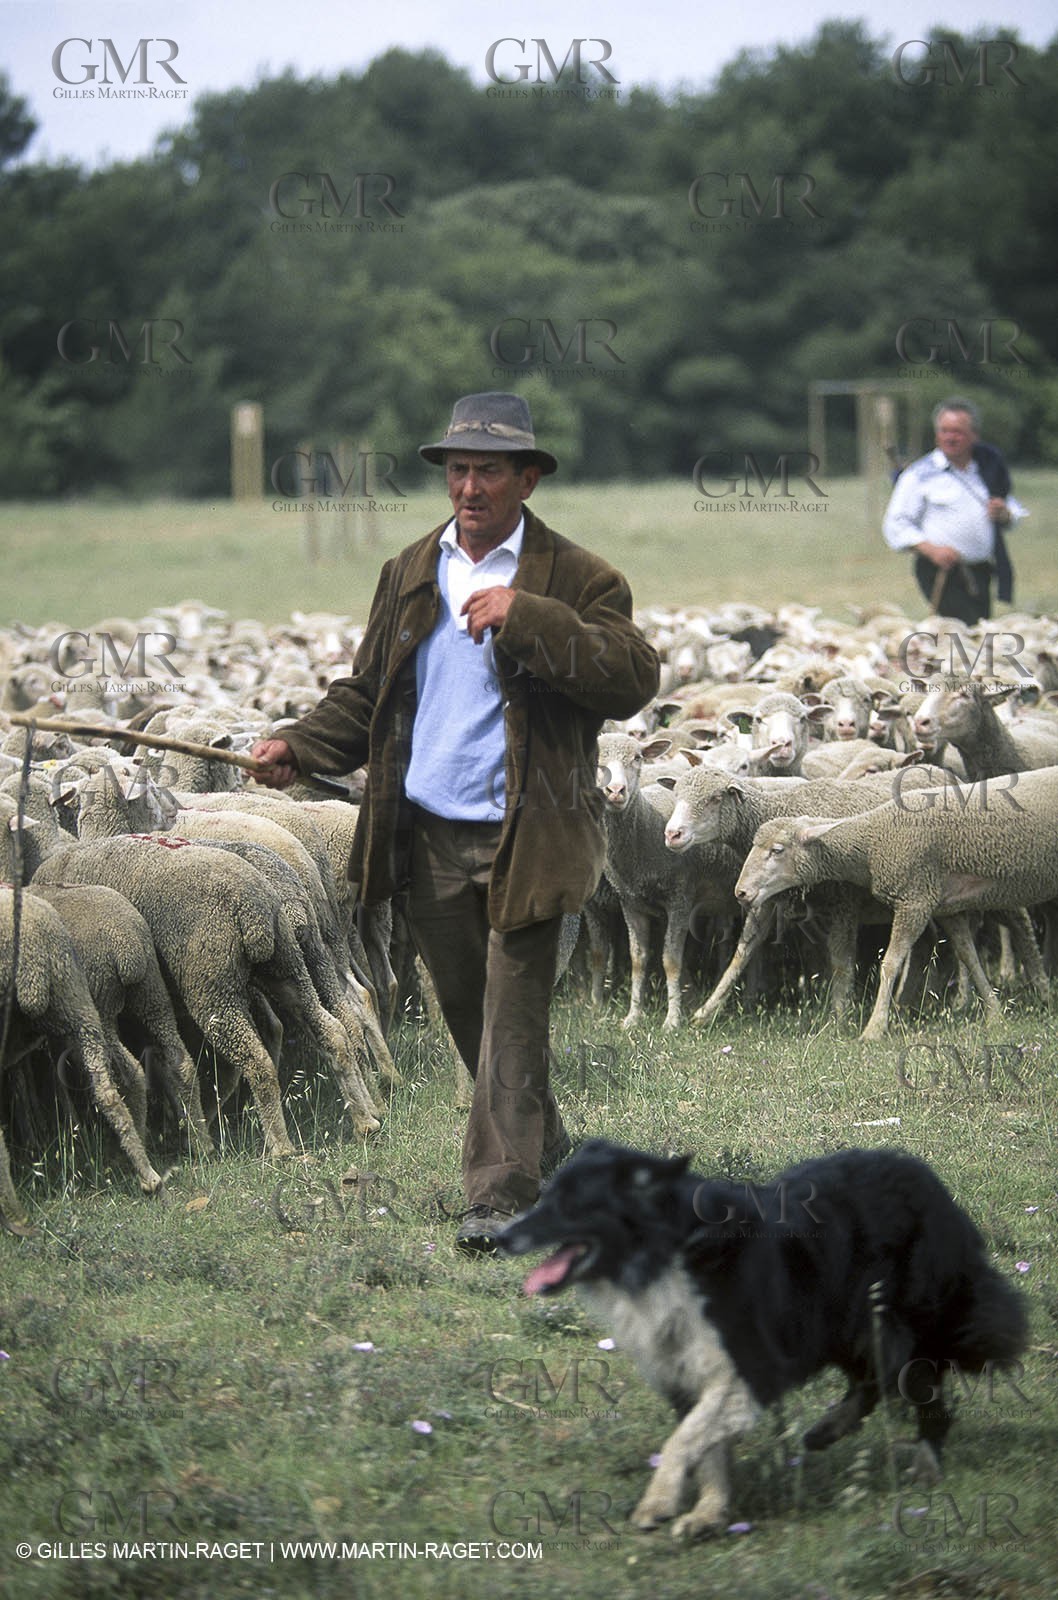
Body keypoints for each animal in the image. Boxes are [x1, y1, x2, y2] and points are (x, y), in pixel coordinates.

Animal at [595, 733, 740, 1029]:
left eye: (637, 758)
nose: (615, 791)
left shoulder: (680, 898)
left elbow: (671, 960)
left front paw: (672, 1021)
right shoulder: (630, 903)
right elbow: (638, 960)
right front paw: (633, 1017)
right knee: (724, 941)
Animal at [734, 767, 1058, 1039]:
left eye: (777, 850)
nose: (741, 893)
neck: (872, 841)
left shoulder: (915, 901)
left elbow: (890, 963)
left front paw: (874, 1029)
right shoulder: (945, 906)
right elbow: (969, 956)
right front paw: (994, 1014)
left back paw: (1044, 993)